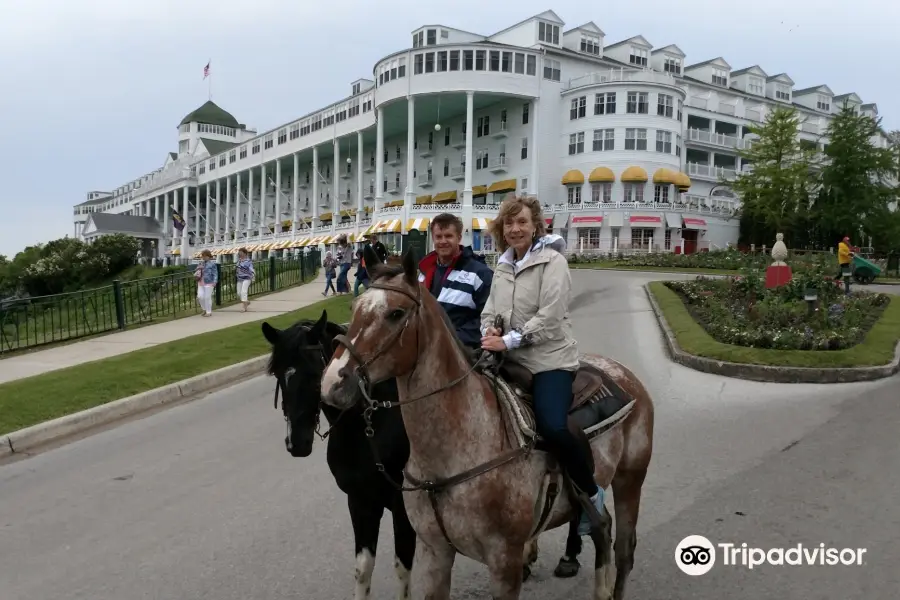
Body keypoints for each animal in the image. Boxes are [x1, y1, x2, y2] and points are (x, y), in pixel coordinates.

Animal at [322, 246, 652, 596]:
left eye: (396, 313)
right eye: (355, 307)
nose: (332, 382)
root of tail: (623, 375)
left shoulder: (505, 562)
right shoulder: (434, 552)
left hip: (630, 482)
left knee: (623, 549)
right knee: (603, 528)